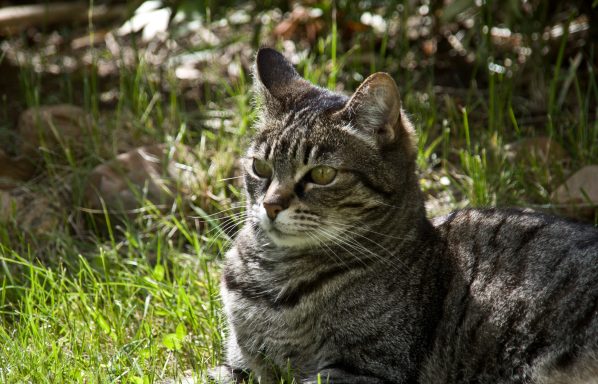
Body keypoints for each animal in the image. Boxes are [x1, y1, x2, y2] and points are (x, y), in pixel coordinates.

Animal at [209, 48, 596, 384]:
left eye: (321, 174)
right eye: (260, 167)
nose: (271, 205)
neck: (273, 284)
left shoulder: (366, 369)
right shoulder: (238, 364)